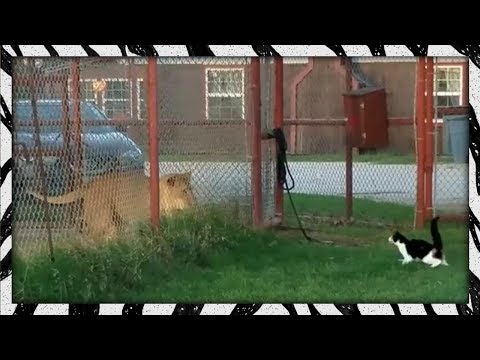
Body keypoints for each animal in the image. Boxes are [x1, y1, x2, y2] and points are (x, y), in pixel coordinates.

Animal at [25, 171, 195, 240]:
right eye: (184, 191)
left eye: (191, 189)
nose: (194, 203)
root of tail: (89, 184)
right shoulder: (139, 219)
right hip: (103, 218)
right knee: (93, 236)